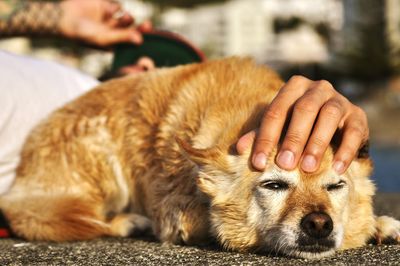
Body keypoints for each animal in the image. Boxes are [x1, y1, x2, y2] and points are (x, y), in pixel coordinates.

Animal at [0, 57, 400, 258]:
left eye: (335, 186)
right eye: (273, 185)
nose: (319, 224)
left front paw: (379, 223)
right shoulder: (174, 213)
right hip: (102, 162)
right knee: (78, 217)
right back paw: (129, 222)